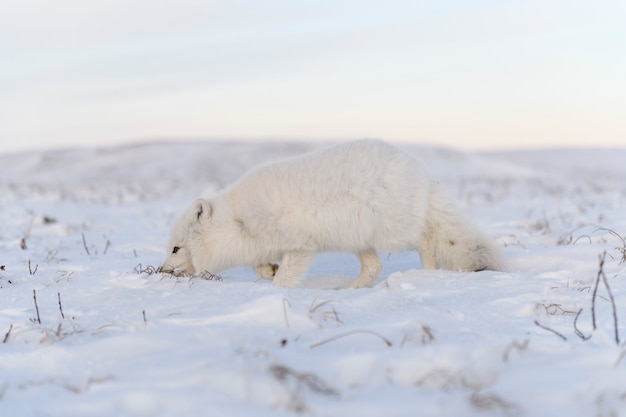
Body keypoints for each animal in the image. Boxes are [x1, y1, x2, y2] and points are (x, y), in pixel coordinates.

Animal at [158, 139, 500, 286]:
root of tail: (422, 170)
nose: (160, 270)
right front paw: (268, 272)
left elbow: (285, 279)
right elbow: (260, 266)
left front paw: (276, 292)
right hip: (357, 238)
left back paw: (427, 273)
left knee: (426, 241)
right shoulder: (261, 243)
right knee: (374, 267)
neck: (236, 222)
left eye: (175, 248)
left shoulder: (300, 245)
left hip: (393, 232)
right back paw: (348, 290)